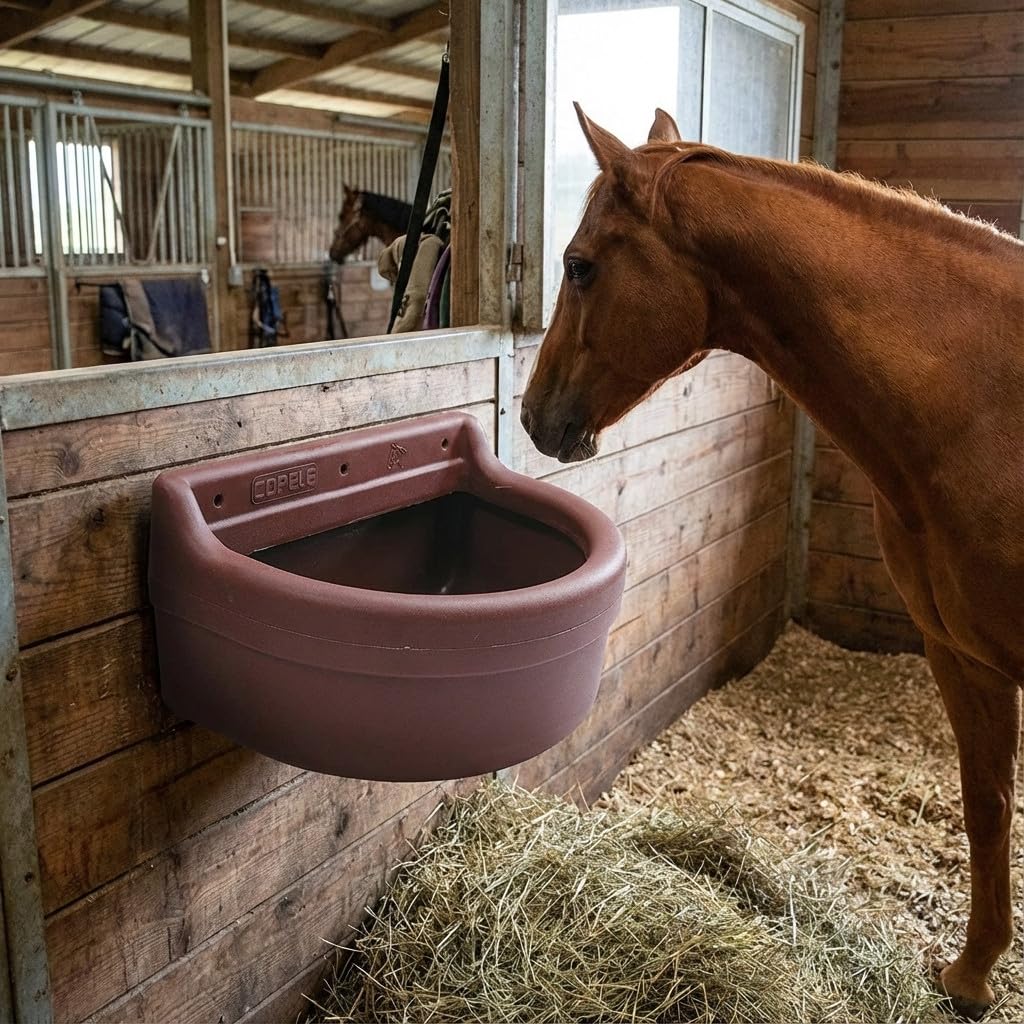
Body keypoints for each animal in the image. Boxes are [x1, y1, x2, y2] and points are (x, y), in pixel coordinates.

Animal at [521, 105, 1023, 1019]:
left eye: (579, 265)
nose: (534, 415)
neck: (986, 403)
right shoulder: (960, 654)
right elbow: (986, 803)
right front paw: (971, 974)